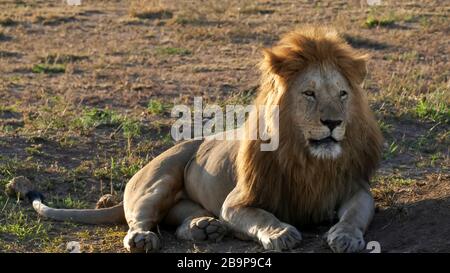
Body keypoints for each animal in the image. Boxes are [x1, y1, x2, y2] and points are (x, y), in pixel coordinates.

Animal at [8, 26, 382, 253]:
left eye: (343, 94)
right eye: (309, 93)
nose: (333, 122)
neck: (308, 160)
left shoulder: (356, 190)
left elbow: (353, 215)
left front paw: (345, 237)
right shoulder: (237, 202)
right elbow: (263, 217)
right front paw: (280, 233)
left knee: (179, 221)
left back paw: (204, 228)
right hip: (158, 181)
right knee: (139, 218)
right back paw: (146, 238)